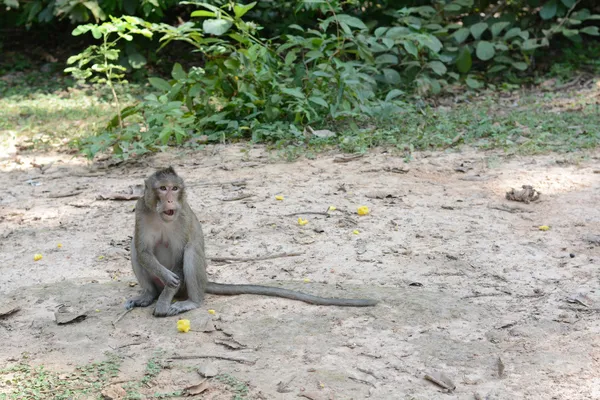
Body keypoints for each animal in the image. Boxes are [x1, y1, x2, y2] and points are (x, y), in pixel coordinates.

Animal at [126, 167, 378, 318]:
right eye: (162, 188)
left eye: (174, 188)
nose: (170, 200)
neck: (163, 217)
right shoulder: (141, 210)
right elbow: (143, 250)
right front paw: (164, 284)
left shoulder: (183, 217)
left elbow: (181, 254)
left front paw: (164, 301)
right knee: (134, 250)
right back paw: (149, 295)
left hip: (191, 283)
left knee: (191, 250)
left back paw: (190, 302)